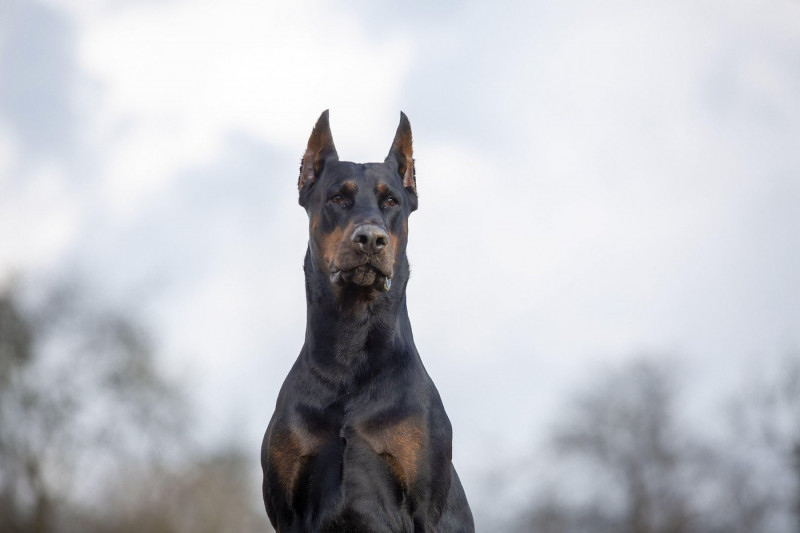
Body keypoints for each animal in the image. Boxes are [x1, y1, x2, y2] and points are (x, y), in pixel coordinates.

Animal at [262, 110, 476, 528]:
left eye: (391, 200)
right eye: (337, 197)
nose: (371, 239)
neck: (349, 353)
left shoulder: (422, 508)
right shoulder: (286, 510)